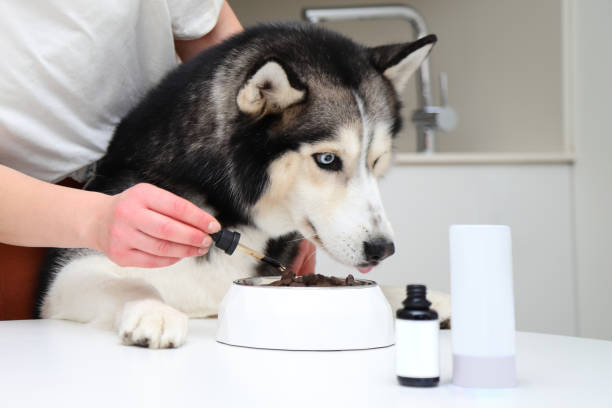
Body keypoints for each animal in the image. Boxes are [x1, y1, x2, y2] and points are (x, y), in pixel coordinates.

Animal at [35, 22, 438, 348]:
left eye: (376, 161)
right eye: (327, 160)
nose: (382, 249)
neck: (231, 211)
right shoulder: (66, 280)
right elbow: (132, 283)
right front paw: (154, 311)